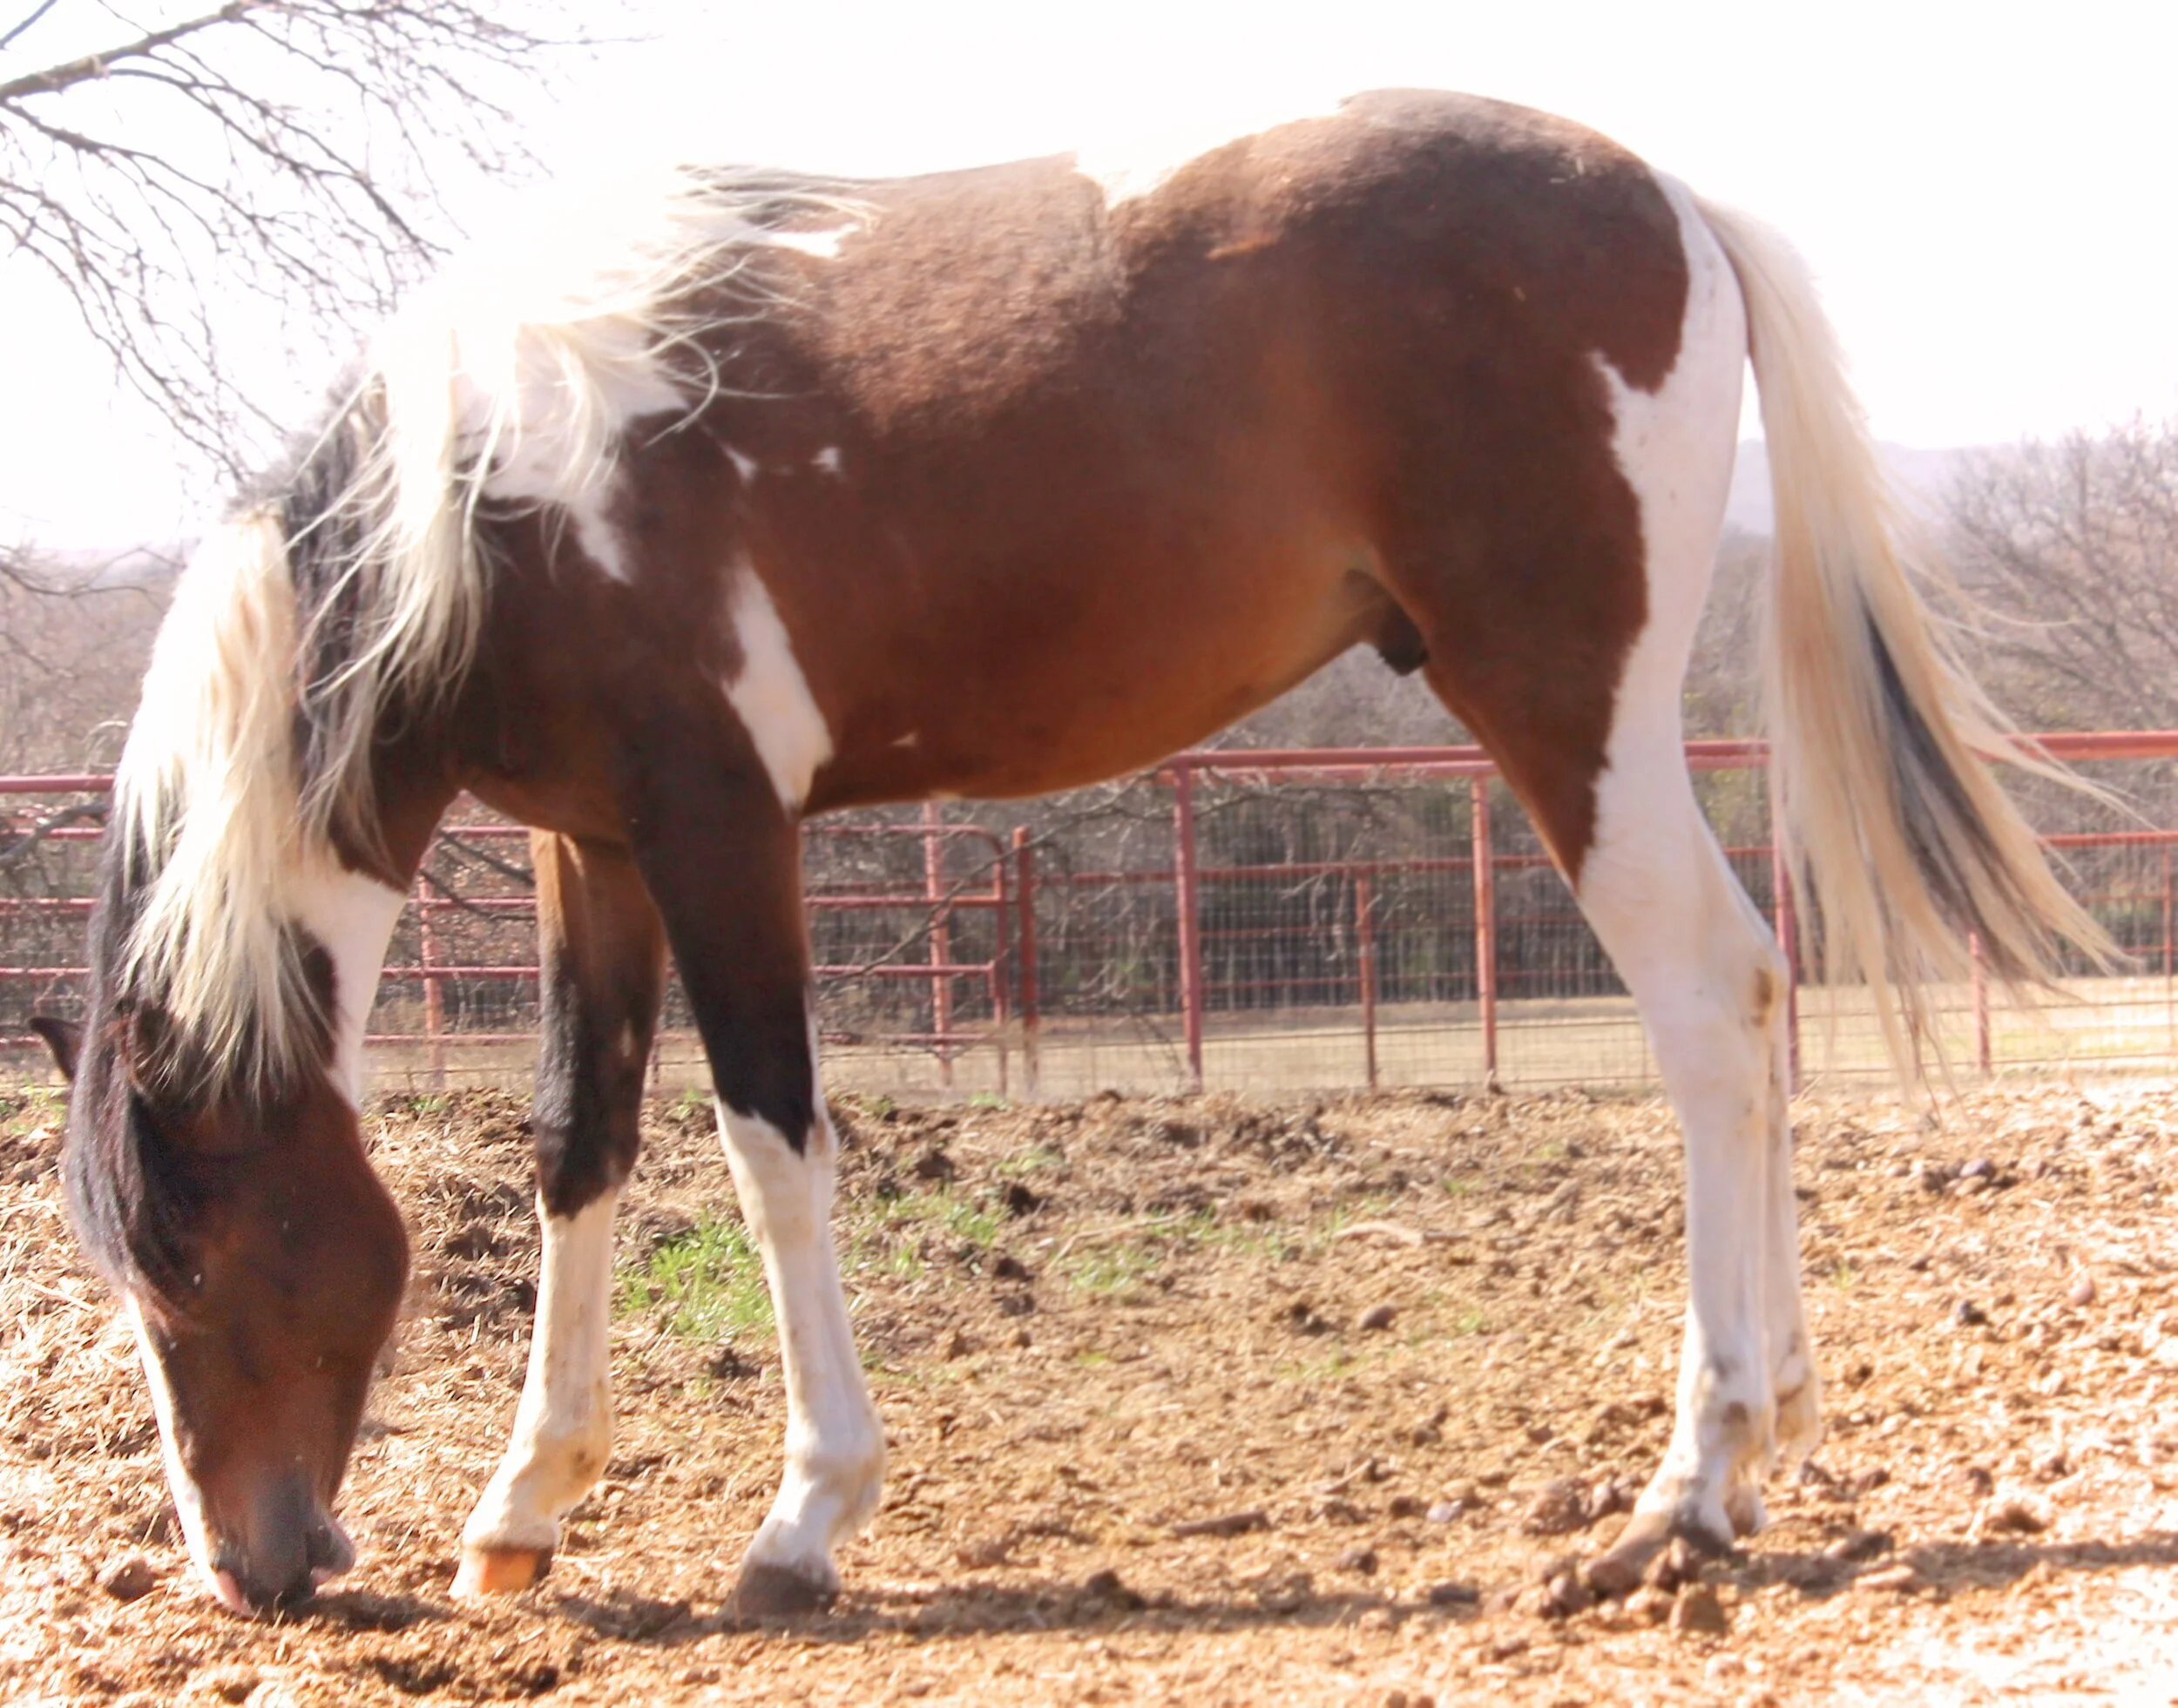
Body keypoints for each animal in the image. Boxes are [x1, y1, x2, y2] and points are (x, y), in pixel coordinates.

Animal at [28, 89, 2100, 1618]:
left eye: (196, 1261)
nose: (249, 1567)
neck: (493, 488)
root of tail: (1665, 194)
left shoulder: (722, 828)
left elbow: (770, 1146)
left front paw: (803, 1519)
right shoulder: (593, 850)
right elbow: (575, 1145)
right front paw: (525, 1503)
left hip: (1564, 706)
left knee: (1705, 998)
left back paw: (1690, 1483)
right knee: (1751, 1001)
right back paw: (1772, 1433)